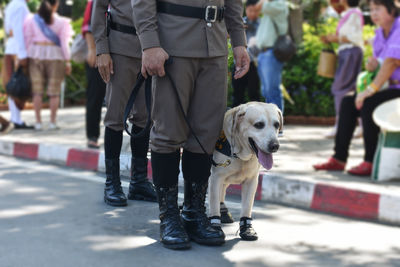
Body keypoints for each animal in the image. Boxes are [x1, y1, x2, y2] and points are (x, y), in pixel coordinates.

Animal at [209, 102, 282, 241]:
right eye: (259, 125)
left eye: (276, 124)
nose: (275, 146)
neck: (240, 154)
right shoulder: (216, 177)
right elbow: (213, 203)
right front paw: (215, 226)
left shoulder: (252, 180)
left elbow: (247, 206)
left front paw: (246, 228)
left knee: (223, 190)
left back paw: (224, 211)